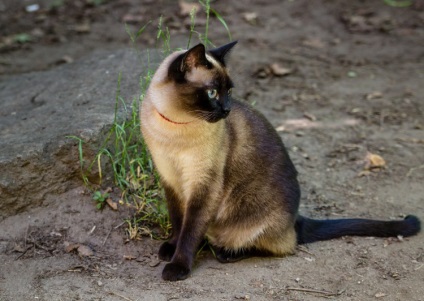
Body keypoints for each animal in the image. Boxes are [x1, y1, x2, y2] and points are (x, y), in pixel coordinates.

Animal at [140, 41, 420, 280]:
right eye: (211, 92)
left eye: (228, 91)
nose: (227, 110)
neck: (175, 125)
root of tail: (295, 218)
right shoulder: (171, 180)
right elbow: (179, 222)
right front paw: (169, 249)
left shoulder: (203, 186)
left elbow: (190, 231)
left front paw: (177, 267)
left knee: (281, 246)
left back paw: (226, 252)